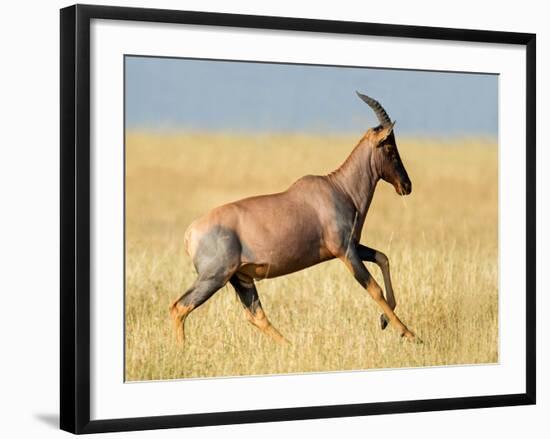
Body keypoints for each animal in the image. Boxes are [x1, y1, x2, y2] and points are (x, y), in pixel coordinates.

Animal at [170, 93, 420, 346]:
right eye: (389, 147)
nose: (406, 185)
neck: (339, 188)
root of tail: (190, 233)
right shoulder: (345, 250)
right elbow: (374, 288)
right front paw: (409, 333)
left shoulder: (352, 246)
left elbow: (383, 258)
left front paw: (384, 321)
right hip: (214, 277)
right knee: (180, 307)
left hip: (240, 278)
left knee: (255, 315)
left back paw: (290, 346)